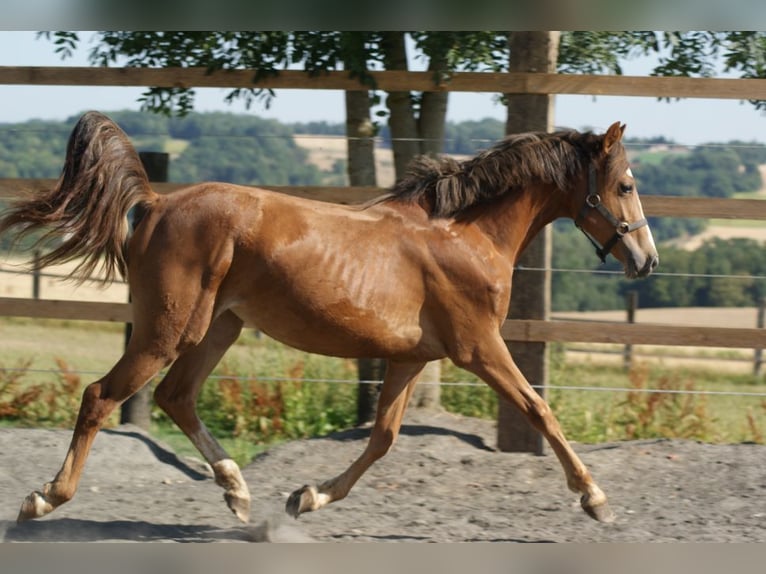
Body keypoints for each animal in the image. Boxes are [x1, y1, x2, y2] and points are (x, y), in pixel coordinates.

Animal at [1, 111, 658, 526]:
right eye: (625, 185)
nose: (646, 260)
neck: (466, 234)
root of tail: (157, 203)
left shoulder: (411, 357)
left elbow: (383, 438)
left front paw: (307, 497)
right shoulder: (479, 347)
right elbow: (540, 409)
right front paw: (596, 499)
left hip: (217, 328)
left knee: (175, 397)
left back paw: (237, 491)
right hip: (166, 330)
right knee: (101, 395)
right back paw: (43, 500)